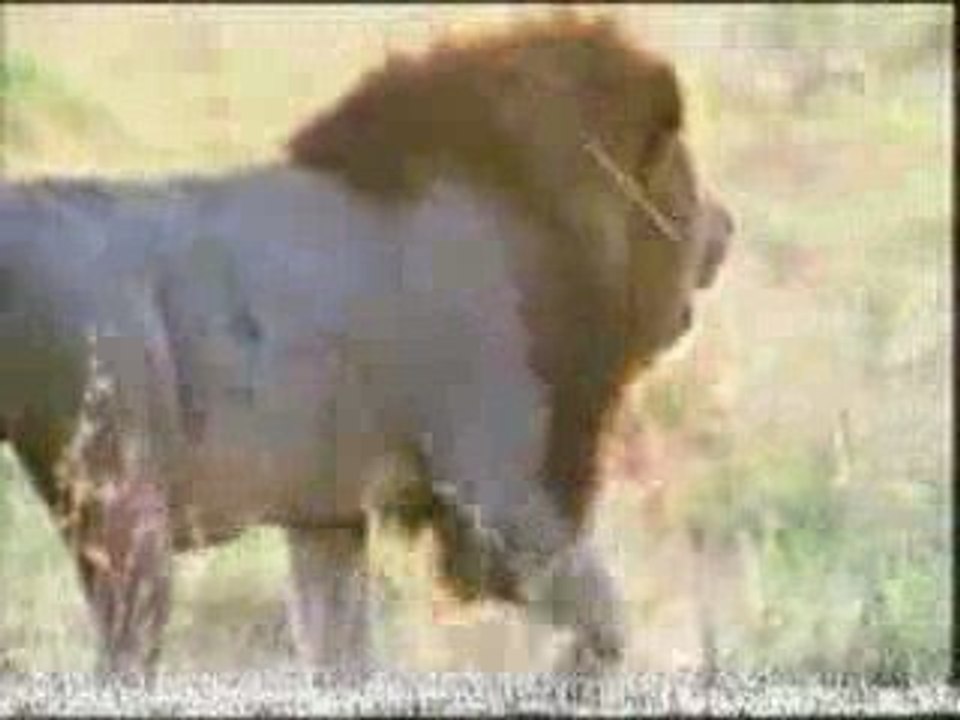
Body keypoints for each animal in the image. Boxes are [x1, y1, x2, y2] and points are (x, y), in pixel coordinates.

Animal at [0, 16, 731, 677]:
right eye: (689, 179)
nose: (728, 227)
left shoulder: (329, 517)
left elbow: (339, 646)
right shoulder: (498, 493)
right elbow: (605, 619)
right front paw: (569, 683)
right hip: (121, 496)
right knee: (123, 657)